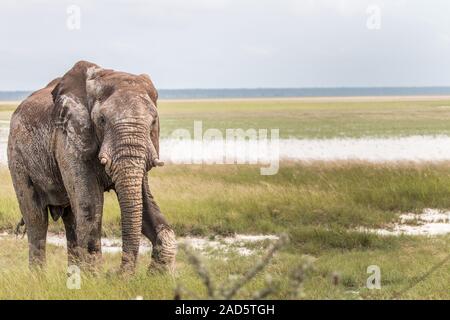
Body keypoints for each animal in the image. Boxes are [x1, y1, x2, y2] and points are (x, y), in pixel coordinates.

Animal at [7, 61, 176, 274]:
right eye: (102, 120)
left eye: (153, 121)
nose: (116, 274)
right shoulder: (68, 139)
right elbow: (90, 206)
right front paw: (95, 279)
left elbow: (145, 203)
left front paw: (157, 275)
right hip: (17, 157)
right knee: (36, 218)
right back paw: (39, 278)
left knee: (71, 218)